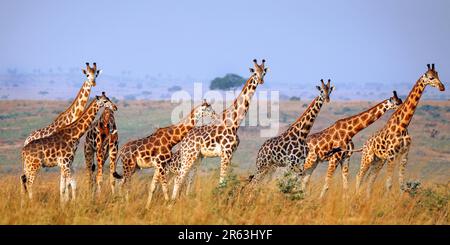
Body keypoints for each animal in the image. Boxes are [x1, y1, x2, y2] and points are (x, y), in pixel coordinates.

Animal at [169, 58, 268, 200]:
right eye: (254, 73)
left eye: (264, 73)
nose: (261, 81)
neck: (235, 122)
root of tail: (183, 142)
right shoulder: (226, 152)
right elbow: (222, 180)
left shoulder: (231, 154)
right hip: (189, 155)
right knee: (179, 178)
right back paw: (172, 202)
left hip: (197, 157)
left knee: (189, 179)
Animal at [356, 63, 446, 195]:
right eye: (430, 77)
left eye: (437, 74)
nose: (442, 87)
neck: (403, 125)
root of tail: (365, 144)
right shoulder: (392, 156)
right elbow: (389, 184)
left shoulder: (404, 155)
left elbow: (401, 184)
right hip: (368, 158)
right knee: (359, 176)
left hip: (378, 160)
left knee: (370, 179)